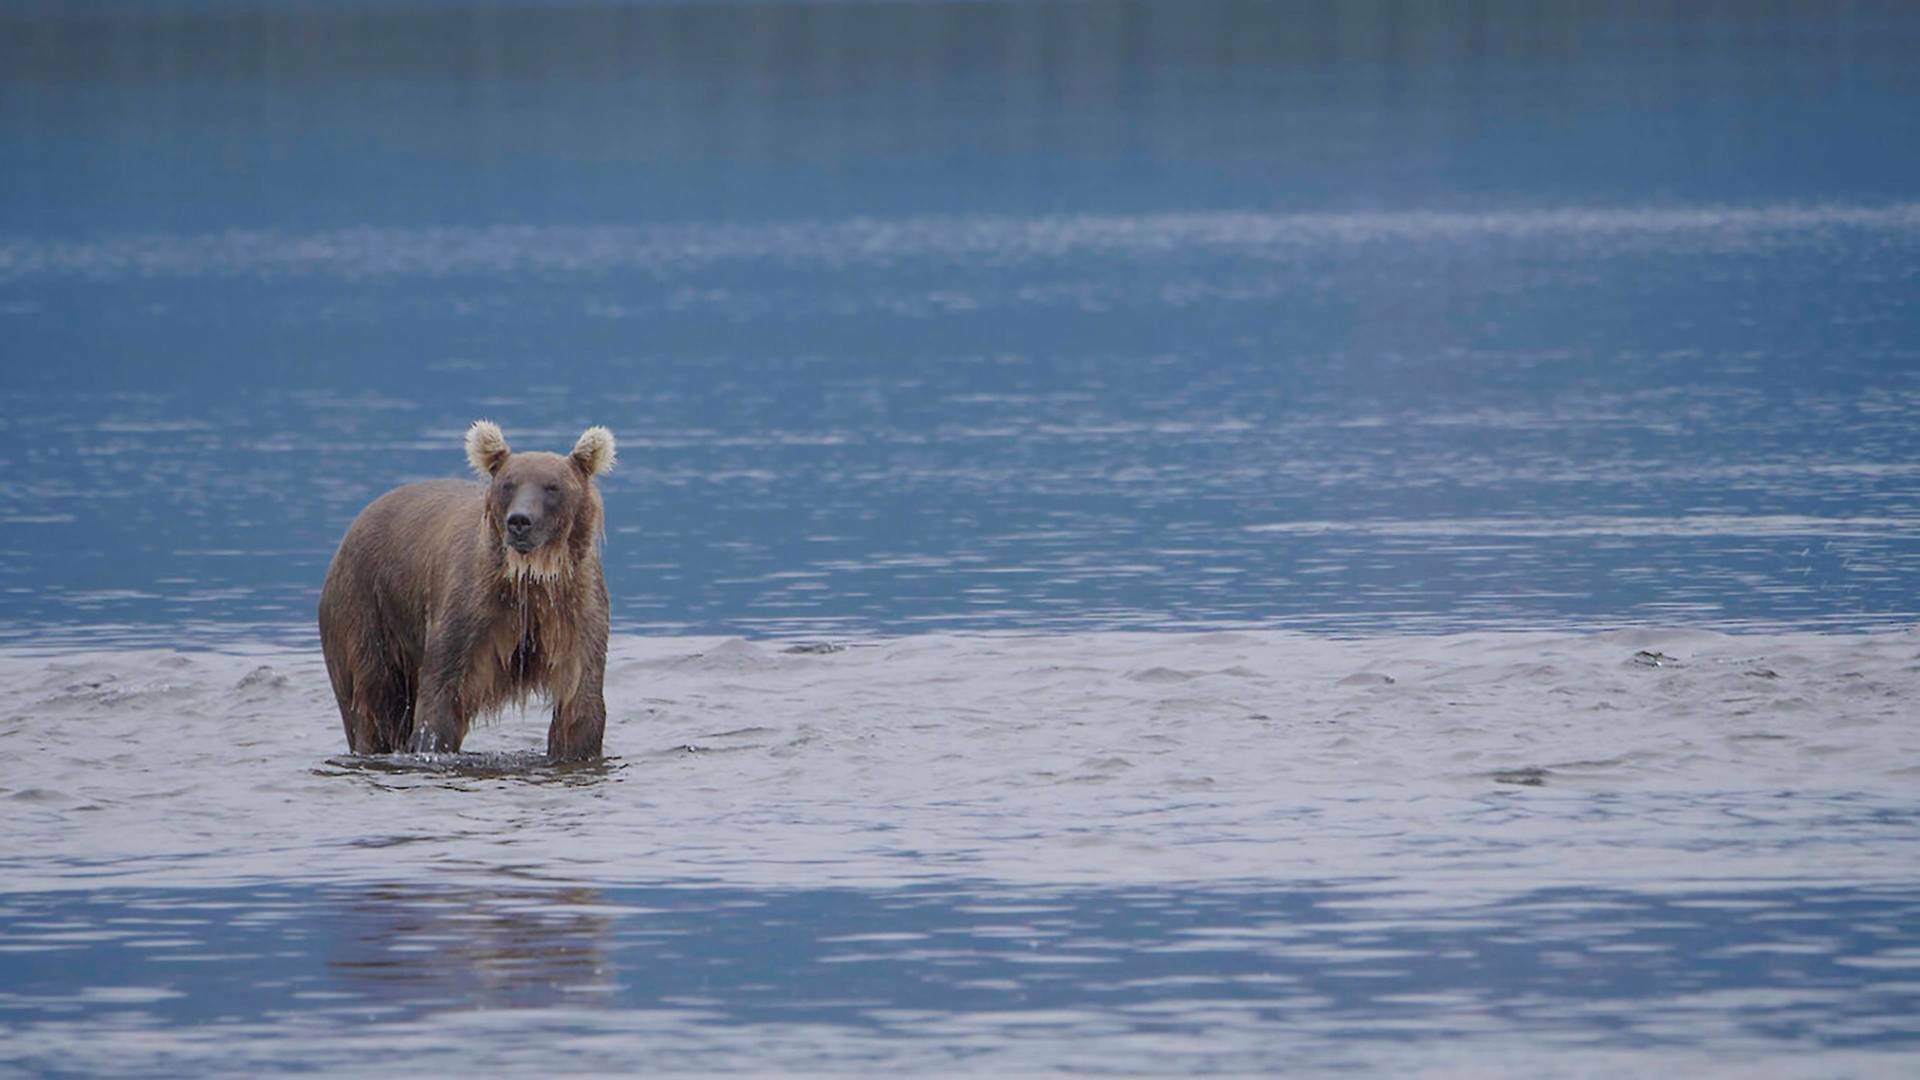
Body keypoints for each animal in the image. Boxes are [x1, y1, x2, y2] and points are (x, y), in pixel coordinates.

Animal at [318, 421, 616, 760]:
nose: (520, 521)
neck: (529, 577)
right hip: (365, 605)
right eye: (508, 484)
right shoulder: (472, 610)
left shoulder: (573, 613)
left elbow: (579, 701)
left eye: (552, 487)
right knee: (373, 700)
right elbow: (441, 696)